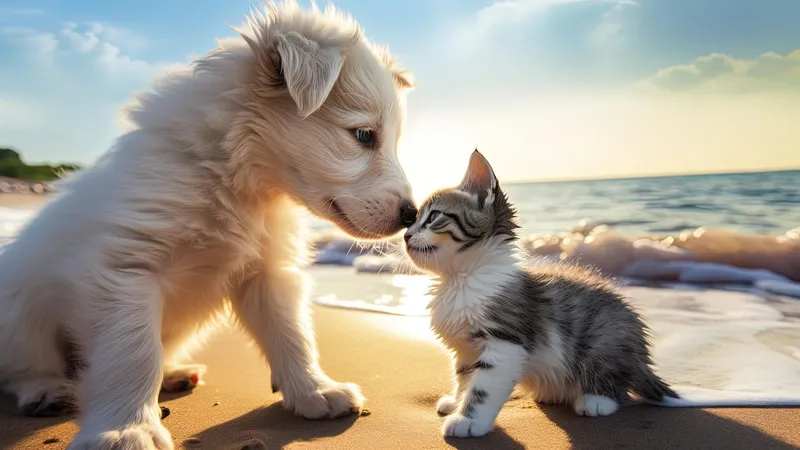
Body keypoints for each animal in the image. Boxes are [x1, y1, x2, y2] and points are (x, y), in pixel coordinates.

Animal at [0, 1, 418, 448]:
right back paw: (47, 390)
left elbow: (292, 333)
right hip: (19, 315)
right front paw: (128, 429)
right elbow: (132, 354)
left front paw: (315, 391)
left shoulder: (267, 272)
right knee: (22, 367)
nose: (412, 215)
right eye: (364, 135)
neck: (236, 178)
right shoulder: (126, 270)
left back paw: (173, 373)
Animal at [406, 150, 676, 436]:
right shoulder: (466, 349)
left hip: (606, 338)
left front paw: (468, 421)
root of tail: (640, 353)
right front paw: (456, 403)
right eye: (413, 220)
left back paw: (596, 399)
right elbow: (465, 379)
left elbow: (481, 389)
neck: (461, 279)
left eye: (433, 217)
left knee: (615, 383)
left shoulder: (505, 342)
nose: (406, 235)